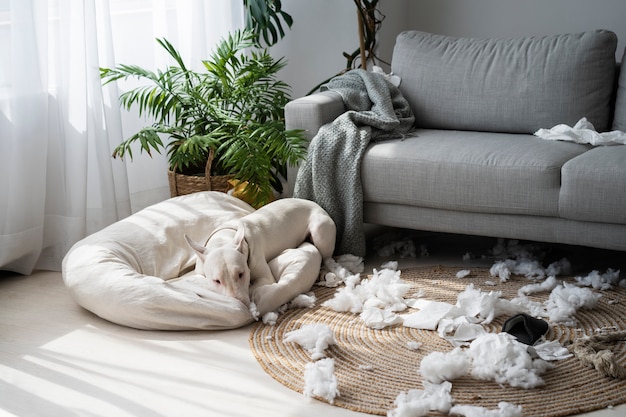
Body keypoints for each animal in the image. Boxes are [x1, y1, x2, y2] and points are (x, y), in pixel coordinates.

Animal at [183, 198, 334, 312]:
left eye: (241, 274)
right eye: (217, 281)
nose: (241, 305)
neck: (223, 239)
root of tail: (315, 204)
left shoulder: (265, 278)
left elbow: (255, 287)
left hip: (320, 229)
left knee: (326, 259)